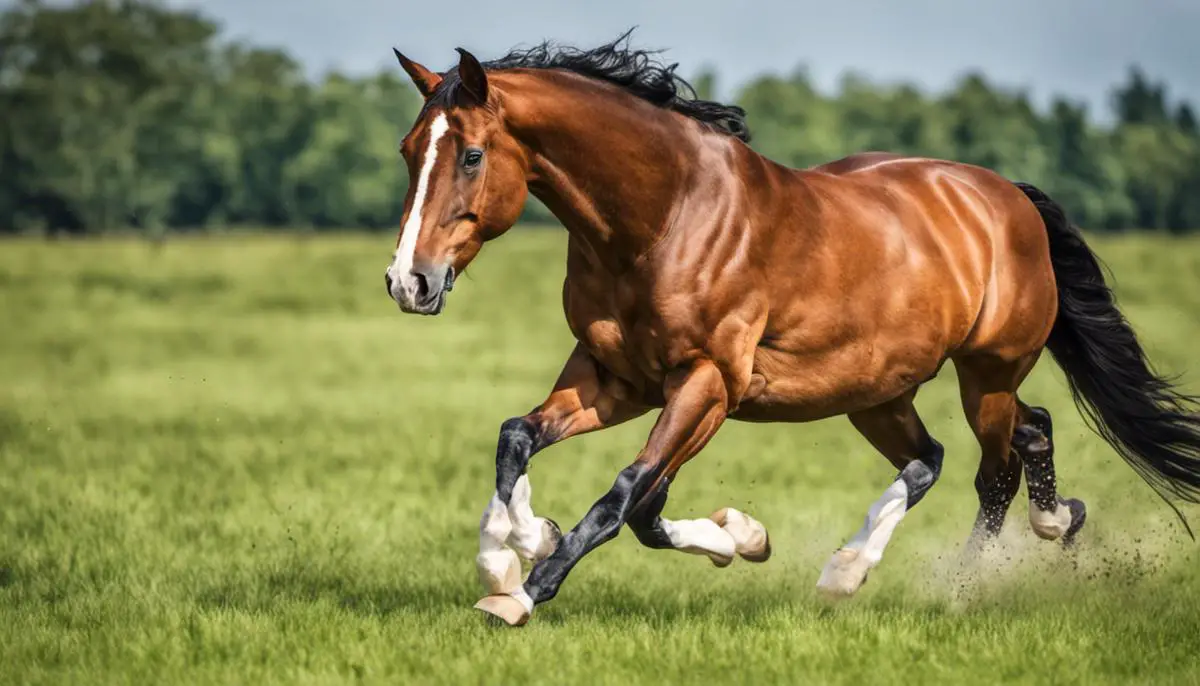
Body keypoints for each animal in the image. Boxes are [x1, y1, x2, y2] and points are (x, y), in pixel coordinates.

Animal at [379, 36, 1200, 628]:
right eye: (410, 150)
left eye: (472, 154)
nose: (407, 282)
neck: (663, 217)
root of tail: (1007, 198)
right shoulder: (613, 376)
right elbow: (522, 439)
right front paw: (518, 546)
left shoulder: (708, 383)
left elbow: (627, 495)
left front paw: (519, 592)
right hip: (879, 391)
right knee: (968, 448)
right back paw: (882, 561)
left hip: (985, 374)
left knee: (992, 469)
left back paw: (958, 586)